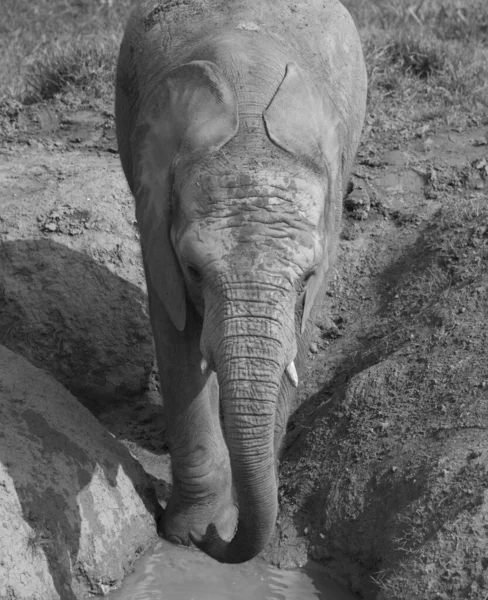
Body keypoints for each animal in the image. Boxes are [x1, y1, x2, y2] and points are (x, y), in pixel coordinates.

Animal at [115, 0, 366, 564]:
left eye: (307, 276)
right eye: (193, 270)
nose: (215, 541)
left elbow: (297, 336)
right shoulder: (153, 207)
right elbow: (177, 334)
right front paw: (189, 533)